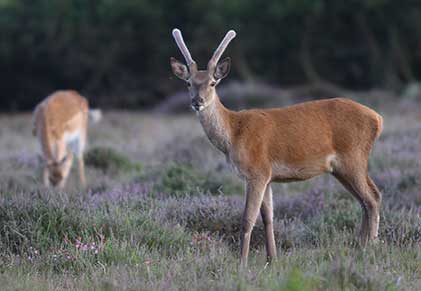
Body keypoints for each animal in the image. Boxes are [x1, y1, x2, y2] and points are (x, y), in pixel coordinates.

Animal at [171, 29, 384, 266]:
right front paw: (271, 259)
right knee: (364, 201)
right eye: (188, 83)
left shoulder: (257, 171)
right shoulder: (268, 176)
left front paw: (242, 263)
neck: (233, 134)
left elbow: (247, 218)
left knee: (373, 197)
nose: (197, 101)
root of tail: (378, 119)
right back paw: (360, 246)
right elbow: (268, 217)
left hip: (353, 157)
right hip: (341, 168)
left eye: (212, 83)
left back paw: (371, 248)